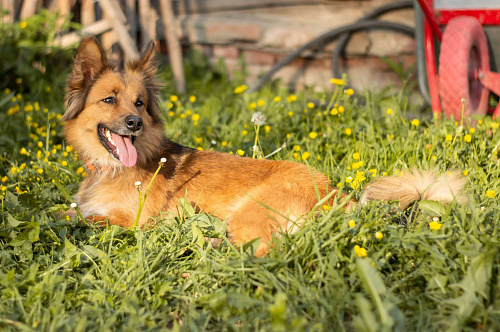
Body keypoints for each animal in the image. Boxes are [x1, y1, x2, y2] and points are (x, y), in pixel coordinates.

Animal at [63, 36, 468, 255]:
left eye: (140, 103)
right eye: (110, 100)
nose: (135, 123)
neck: (112, 168)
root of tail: (336, 194)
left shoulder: (133, 221)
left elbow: (78, 216)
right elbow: (70, 209)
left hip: (247, 214)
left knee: (264, 251)